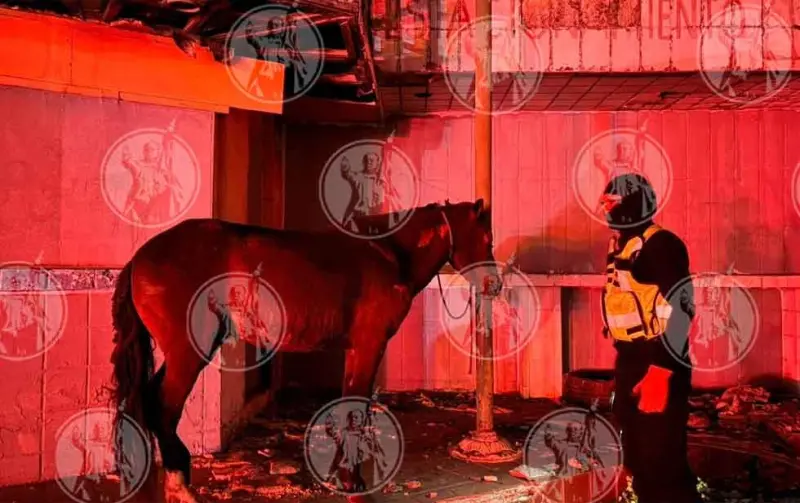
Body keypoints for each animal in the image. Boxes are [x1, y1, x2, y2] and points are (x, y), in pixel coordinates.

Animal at [110, 199, 498, 503]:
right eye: (486, 238)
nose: (494, 284)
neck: (388, 253)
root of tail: (140, 257)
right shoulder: (369, 346)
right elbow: (355, 410)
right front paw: (353, 482)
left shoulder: (355, 350)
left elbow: (347, 408)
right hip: (189, 352)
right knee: (164, 407)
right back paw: (180, 486)